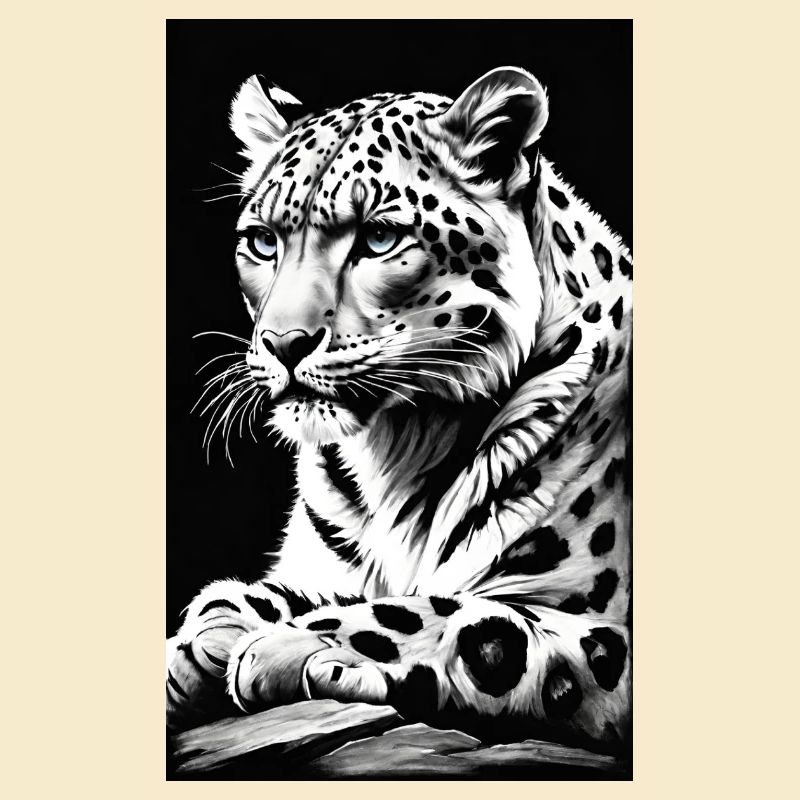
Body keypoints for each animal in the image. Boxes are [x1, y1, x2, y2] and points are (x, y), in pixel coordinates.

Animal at [166, 67, 632, 754]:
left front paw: (281, 643)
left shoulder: (605, 630)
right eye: (262, 242)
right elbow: (293, 590)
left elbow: (444, 612)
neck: (396, 448)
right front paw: (210, 631)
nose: (283, 342)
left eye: (380, 238)